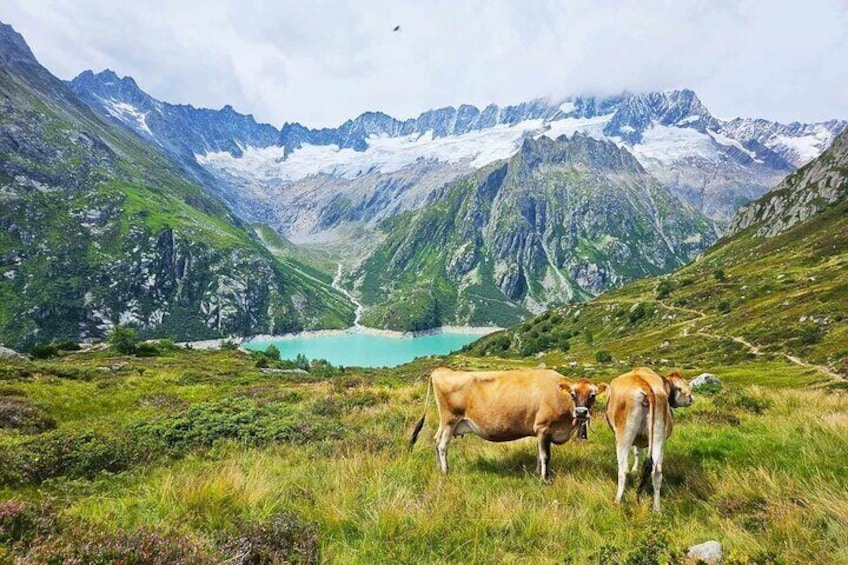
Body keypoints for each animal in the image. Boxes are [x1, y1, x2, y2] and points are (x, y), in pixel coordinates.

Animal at [408, 366, 608, 480]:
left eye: (593, 395)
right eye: (573, 394)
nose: (581, 412)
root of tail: (441, 370)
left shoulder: (539, 432)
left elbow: (538, 454)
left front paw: (537, 473)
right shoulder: (543, 428)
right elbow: (545, 456)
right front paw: (544, 479)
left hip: (447, 423)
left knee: (436, 440)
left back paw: (438, 467)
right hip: (450, 419)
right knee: (442, 445)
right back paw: (445, 471)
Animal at [608, 366, 692, 512]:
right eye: (683, 386)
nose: (691, 399)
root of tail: (644, 384)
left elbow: (636, 452)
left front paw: (634, 469)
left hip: (624, 435)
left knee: (623, 470)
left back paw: (617, 501)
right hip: (658, 435)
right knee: (656, 472)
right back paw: (657, 509)